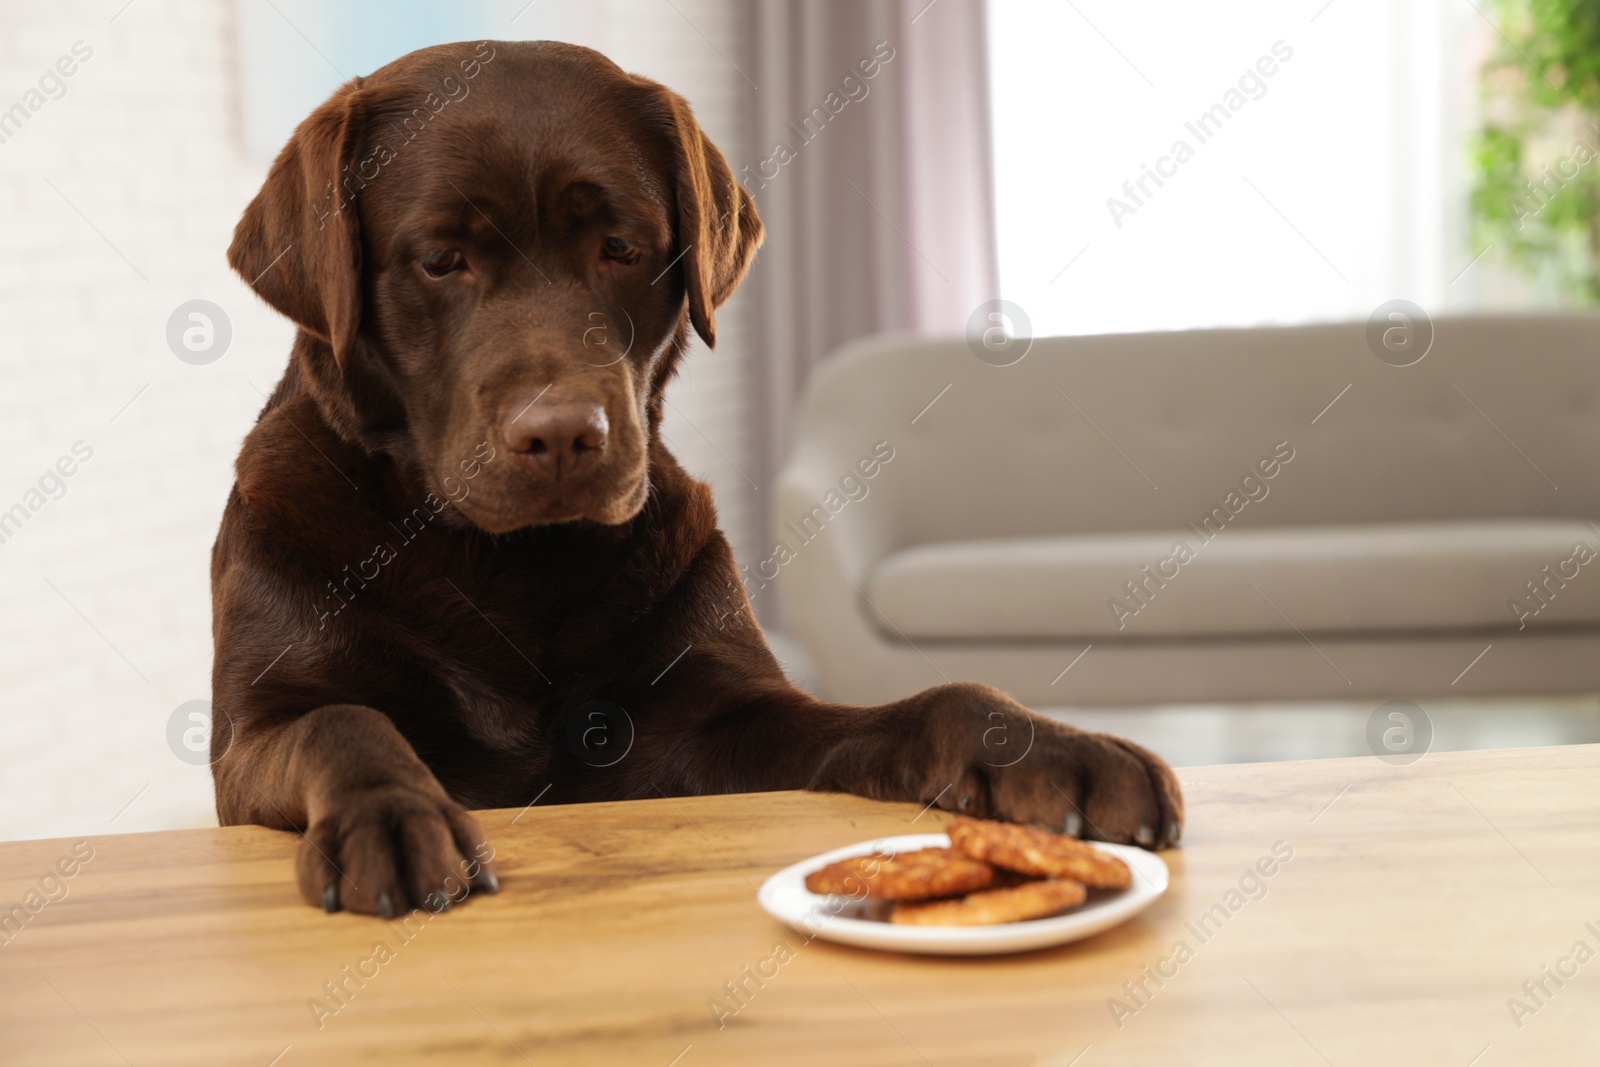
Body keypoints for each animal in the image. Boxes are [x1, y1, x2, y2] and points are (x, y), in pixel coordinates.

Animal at [212, 37, 1184, 915]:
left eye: (620, 246)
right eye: (442, 259)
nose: (563, 436)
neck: (511, 566)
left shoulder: (728, 715)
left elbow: (937, 696)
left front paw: (1045, 745)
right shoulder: (251, 737)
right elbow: (341, 720)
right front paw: (389, 814)